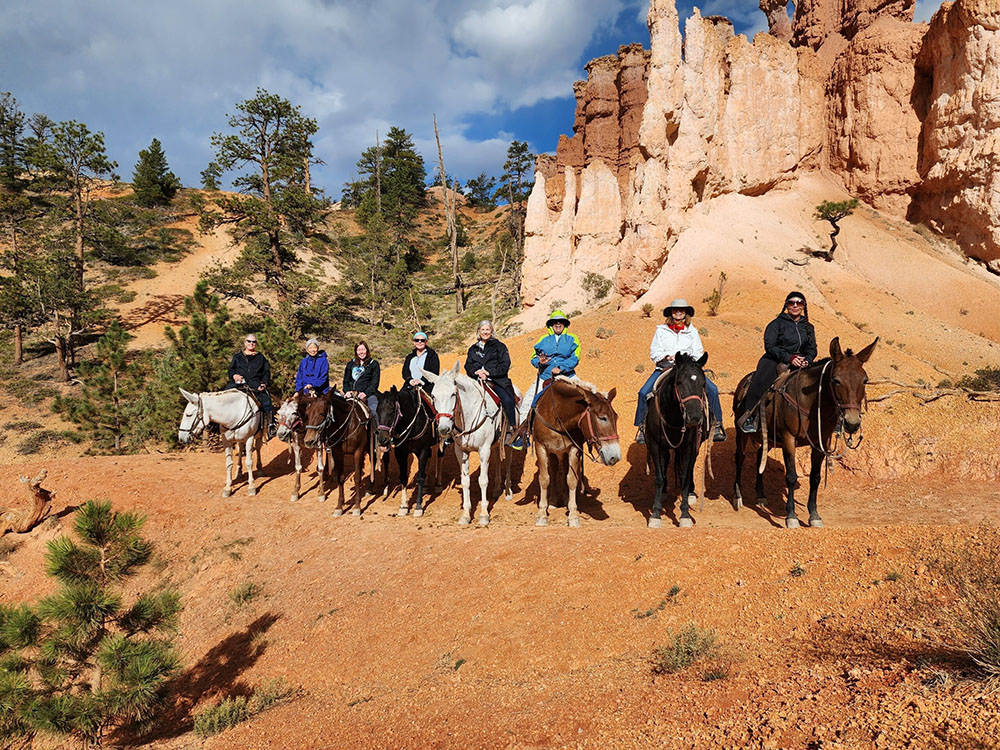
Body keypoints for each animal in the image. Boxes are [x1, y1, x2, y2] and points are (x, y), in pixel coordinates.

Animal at [422, 364, 520, 528]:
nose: (443, 429)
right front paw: (466, 515)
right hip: (494, 444)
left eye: (453, 394)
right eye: (434, 396)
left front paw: (484, 515)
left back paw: (507, 491)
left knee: (508, 462)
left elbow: (483, 480)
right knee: (497, 459)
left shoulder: (484, 450)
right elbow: (465, 481)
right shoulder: (461, 451)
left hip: (508, 441)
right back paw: (496, 489)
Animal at [528, 376, 620, 528]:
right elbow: (544, 479)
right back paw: (553, 501)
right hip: (552, 453)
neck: (557, 416)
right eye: (602, 417)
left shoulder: (574, 449)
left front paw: (573, 516)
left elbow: (571, 479)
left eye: (616, 417)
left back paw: (564, 500)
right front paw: (541, 514)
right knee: (553, 471)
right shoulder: (541, 447)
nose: (615, 457)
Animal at [732, 338, 880, 532]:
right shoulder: (788, 438)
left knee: (759, 457)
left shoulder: (820, 443)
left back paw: (761, 496)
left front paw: (814, 516)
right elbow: (791, 476)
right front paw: (791, 517)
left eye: (865, 380)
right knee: (740, 458)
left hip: (769, 438)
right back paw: (737, 496)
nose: (852, 423)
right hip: (741, 433)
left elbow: (815, 478)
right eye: (836, 380)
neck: (809, 403)